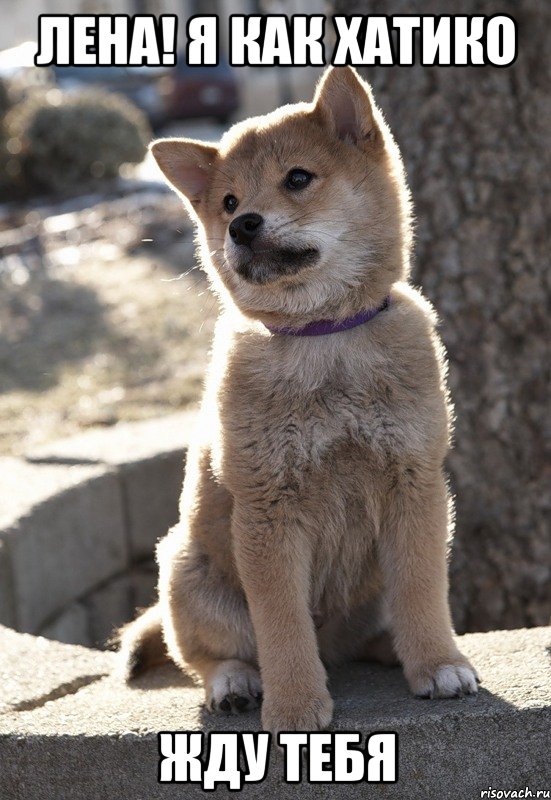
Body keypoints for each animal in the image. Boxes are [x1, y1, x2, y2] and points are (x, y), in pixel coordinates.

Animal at [119, 65, 478, 736]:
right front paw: (293, 707)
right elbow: (281, 625)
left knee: (374, 630)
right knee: (208, 655)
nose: (242, 226)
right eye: (229, 202)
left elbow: (421, 590)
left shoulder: (414, 481)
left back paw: (392, 650)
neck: (324, 338)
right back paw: (237, 684)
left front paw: (438, 664)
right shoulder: (268, 507)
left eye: (298, 179)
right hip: (185, 572)